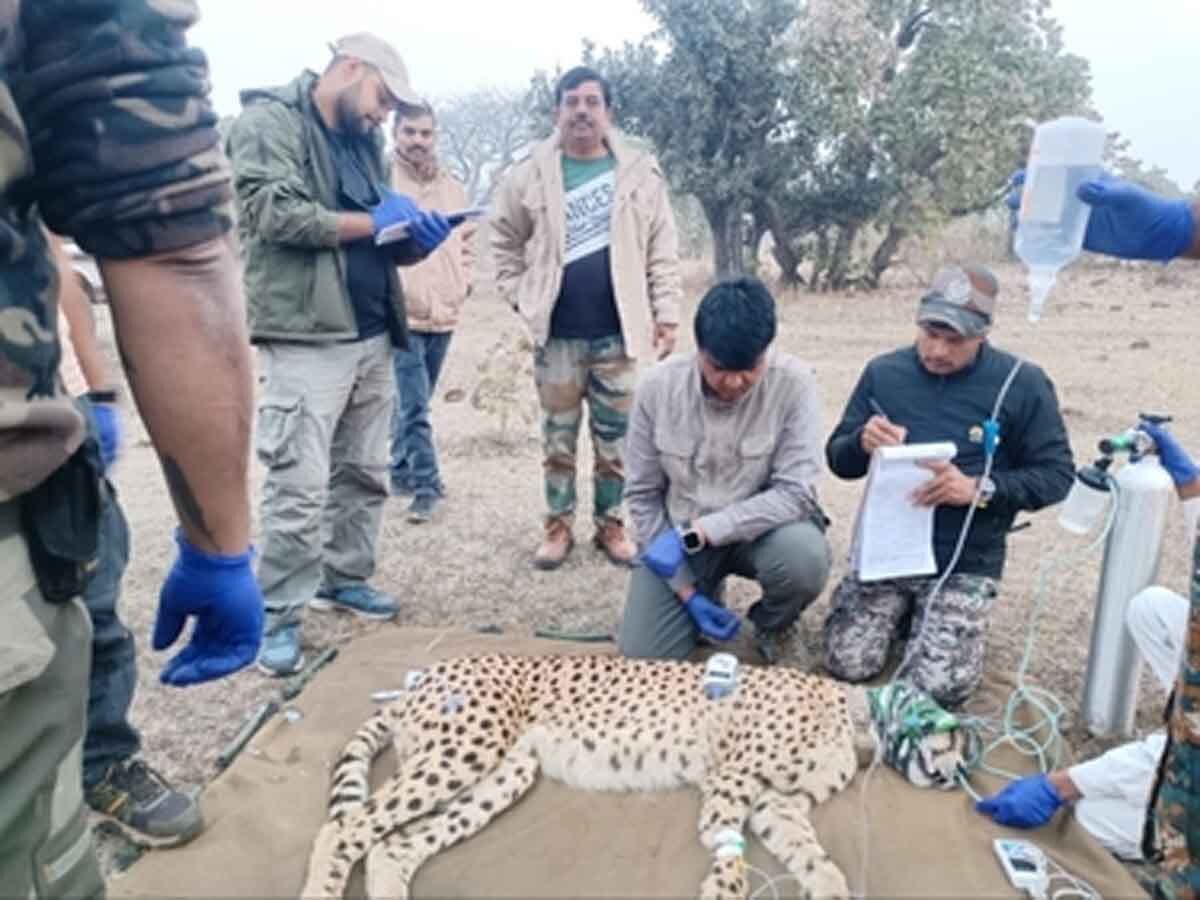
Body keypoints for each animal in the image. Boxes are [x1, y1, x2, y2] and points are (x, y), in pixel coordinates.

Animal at [302, 657, 974, 900]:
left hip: (501, 776)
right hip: (464, 750)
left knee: (391, 845)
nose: (955, 776)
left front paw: (829, 888)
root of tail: (430, 670)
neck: (860, 721)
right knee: (345, 828)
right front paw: (723, 890)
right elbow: (729, 849)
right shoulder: (732, 780)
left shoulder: (778, 805)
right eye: (955, 739)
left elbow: (813, 857)